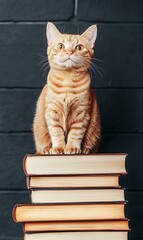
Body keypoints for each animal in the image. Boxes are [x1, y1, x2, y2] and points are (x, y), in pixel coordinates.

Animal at [33, 22, 100, 154]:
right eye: (60, 46)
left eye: (79, 47)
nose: (69, 52)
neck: (67, 84)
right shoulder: (52, 112)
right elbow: (56, 132)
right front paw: (58, 148)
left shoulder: (82, 113)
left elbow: (76, 133)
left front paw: (72, 147)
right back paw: (47, 149)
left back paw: (85, 149)